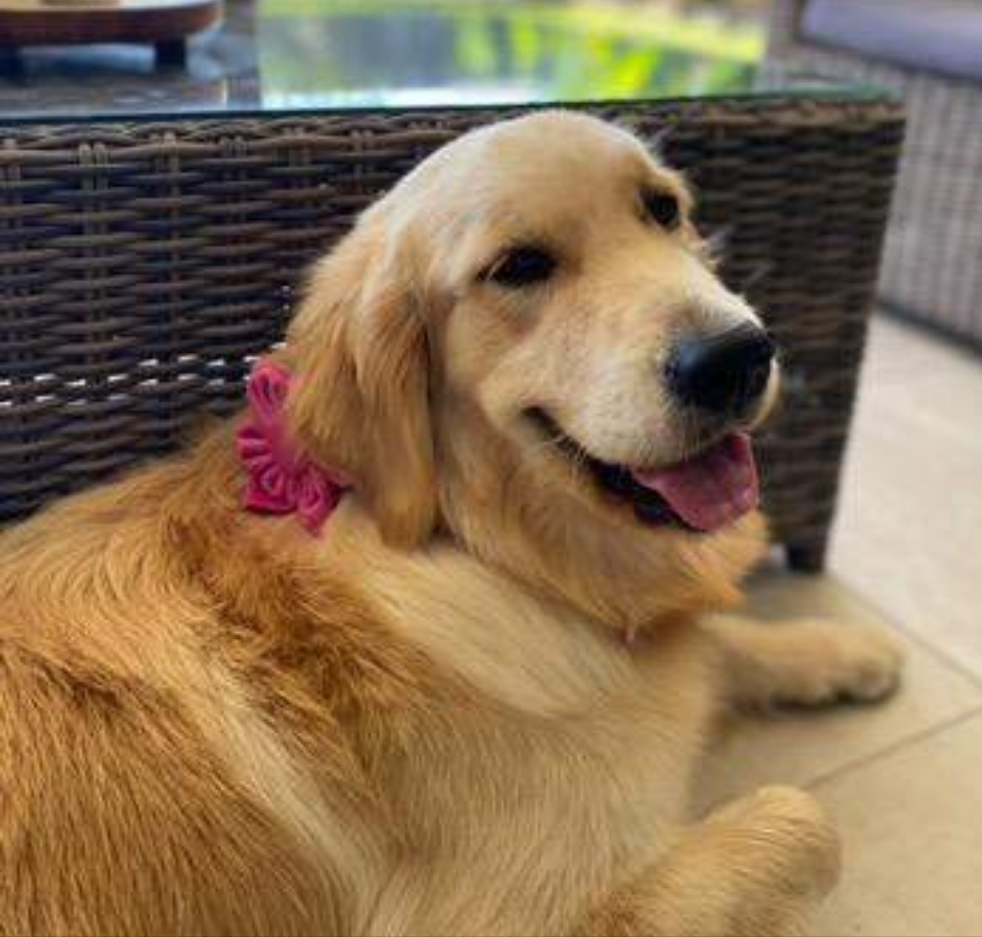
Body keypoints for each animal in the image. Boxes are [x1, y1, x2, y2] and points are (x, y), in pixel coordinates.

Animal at [0, 111, 908, 936]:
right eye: (520, 266)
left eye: (662, 208)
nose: (736, 355)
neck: (483, 550)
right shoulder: (516, 916)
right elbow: (806, 817)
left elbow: (725, 641)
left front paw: (844, 648)